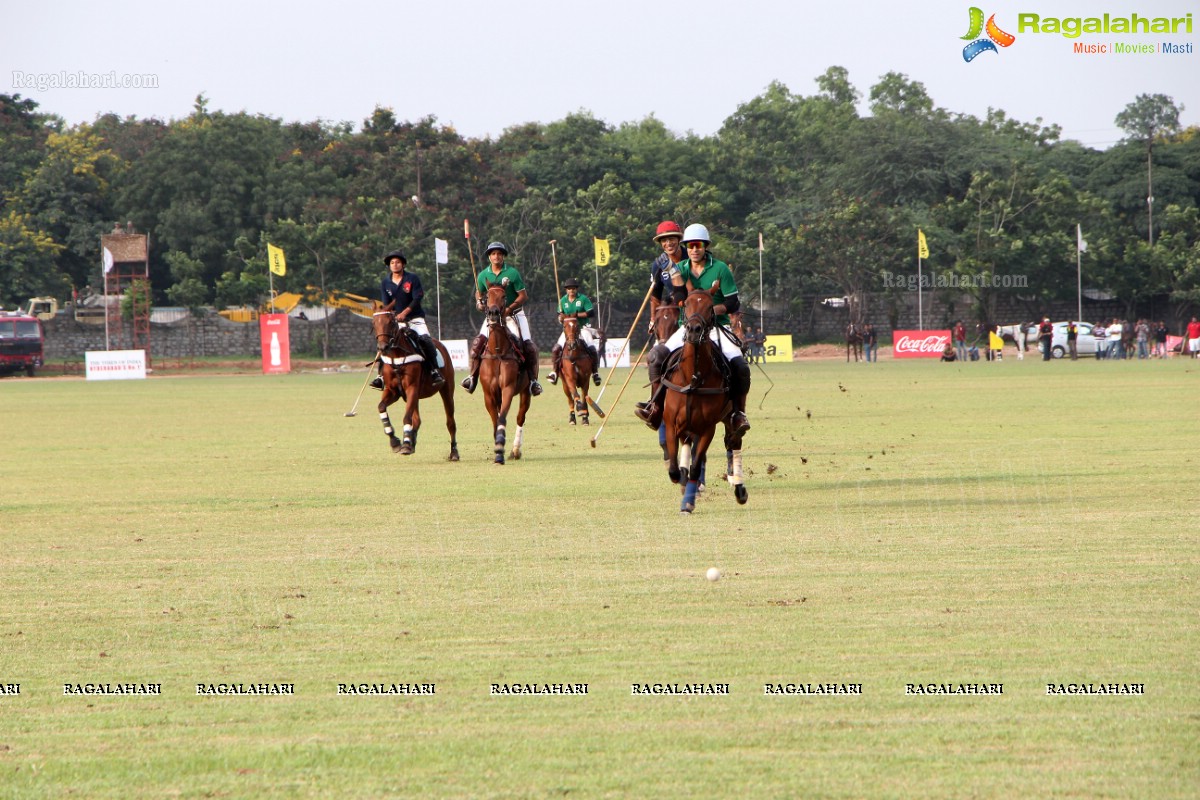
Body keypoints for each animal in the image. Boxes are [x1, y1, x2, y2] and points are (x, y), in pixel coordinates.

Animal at [369, 302, 458, 462]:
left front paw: (404, 445)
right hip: (414, 396)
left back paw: (453, 452)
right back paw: (411, 442)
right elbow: (381, 407)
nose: (383, 348)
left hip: (446, 390)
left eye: (391, 322)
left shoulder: (411, 388)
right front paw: (395, 441)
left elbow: (406, 417)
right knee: (417, 419)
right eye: (374, 323)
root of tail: (441, 345)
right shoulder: (393, 391)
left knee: (450, 422)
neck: (397, 355)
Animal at [480, 286, 532, 462]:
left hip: (526, 391)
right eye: (487, 296)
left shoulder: (508, 388)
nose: (493, 313)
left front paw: (499, 448)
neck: (498, 351)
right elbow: (495, 419)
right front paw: (497, 445)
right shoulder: (489, 394)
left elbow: (502, 417)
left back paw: (515, 450)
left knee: (521, 417)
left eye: (503, 296)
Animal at [662, 291, 744, 515]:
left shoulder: (708, 428)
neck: (693, 378)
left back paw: (739, 488)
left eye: (710, 307)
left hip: (729, 418)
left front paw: (688, 504)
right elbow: (674, 469)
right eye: (687, 304)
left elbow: (696, 467)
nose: (693, 330)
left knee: (734, 442)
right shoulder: (671, 424)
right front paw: (683, 483)